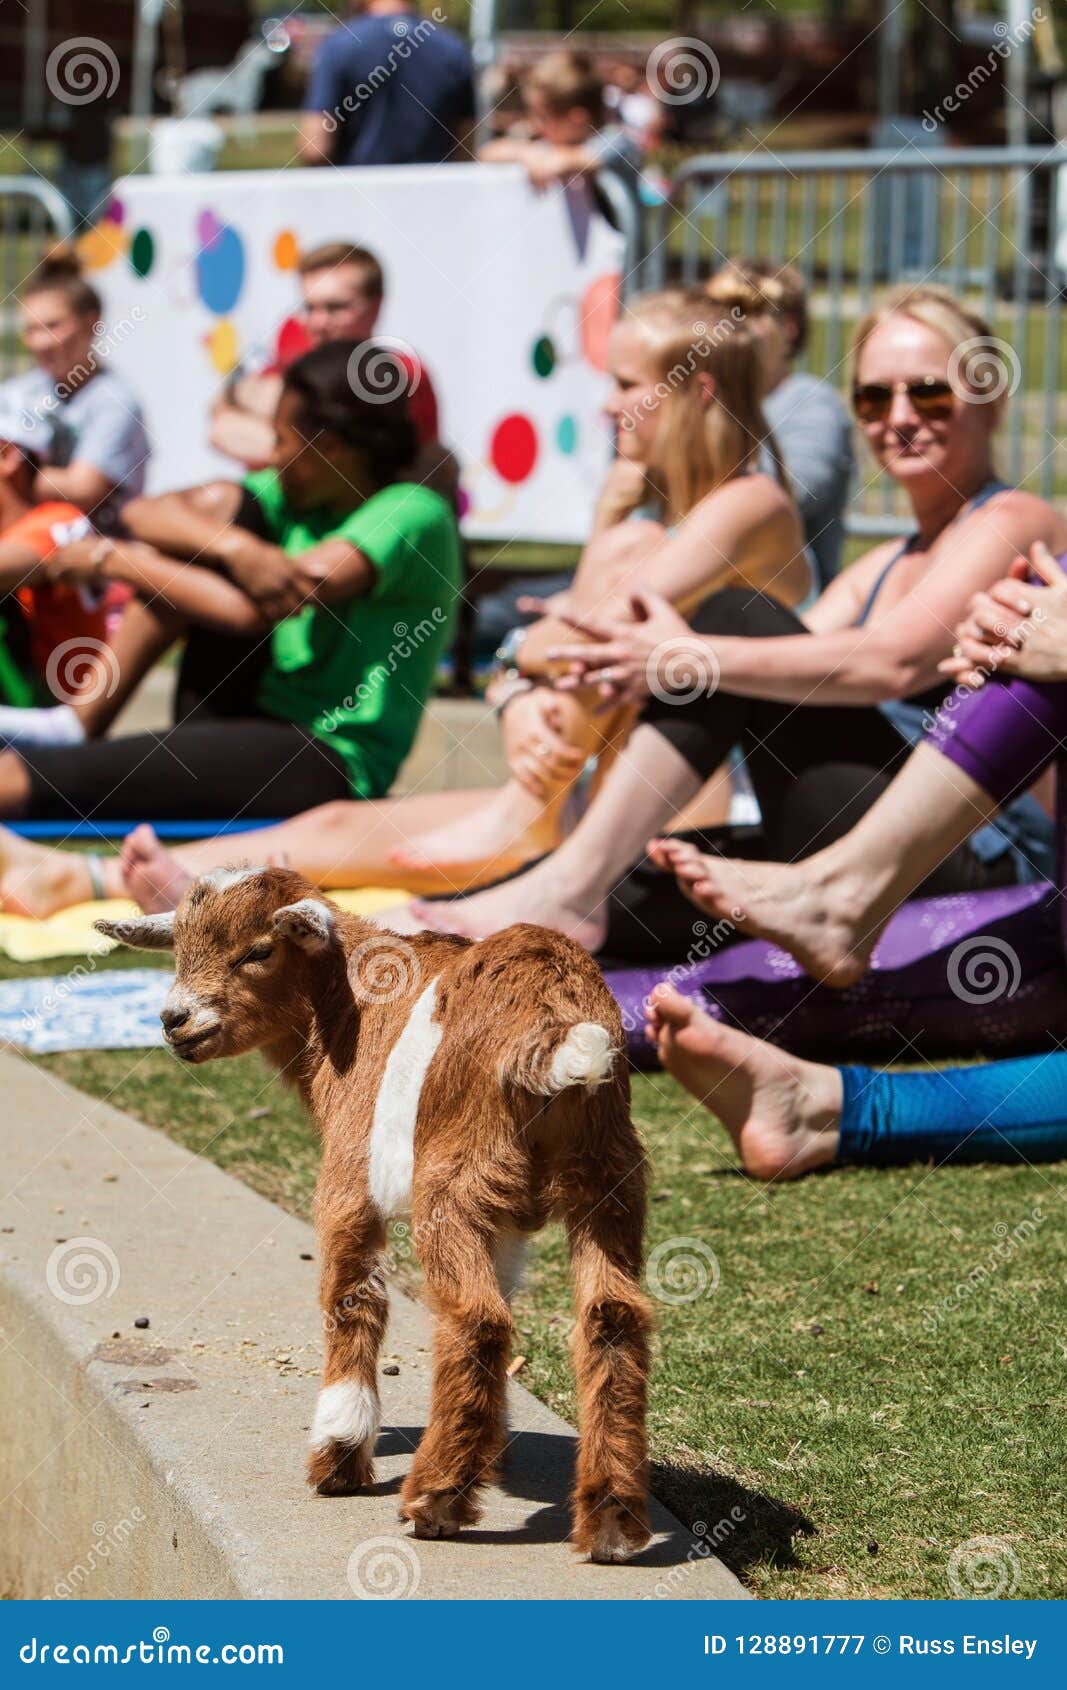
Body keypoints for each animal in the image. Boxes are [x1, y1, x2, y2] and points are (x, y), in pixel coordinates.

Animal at [100, 878, 656, 1561]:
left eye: (259, 950)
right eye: (178, 948)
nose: (174, 1020)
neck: (347, 1006)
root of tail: (556, 1026)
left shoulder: (348, 1174)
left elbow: (351, 1296)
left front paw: (338, 1456)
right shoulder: (507, 1223)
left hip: (454, 1180)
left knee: (476, 1319)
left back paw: (435, 1499)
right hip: (609, 1176)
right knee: (611, 1317)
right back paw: (610, 1519)